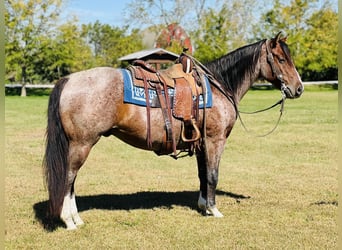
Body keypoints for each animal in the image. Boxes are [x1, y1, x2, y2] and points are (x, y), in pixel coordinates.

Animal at [42, 31, 302, 230]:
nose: (298, 88)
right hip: (82, 144)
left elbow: (202, 175)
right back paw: (69, 221)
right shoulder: (215, 140)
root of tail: (68, 80)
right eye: (280, 59)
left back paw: (76, 218)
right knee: (68, 178)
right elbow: (213, 175)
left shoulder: (201, 143)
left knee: (72, 182)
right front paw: (214, 209)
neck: (220, 85)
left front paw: (203, 207)